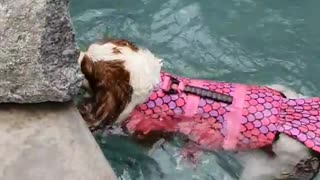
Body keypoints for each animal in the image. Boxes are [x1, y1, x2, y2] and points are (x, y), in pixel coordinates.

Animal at [77, 38, 320, 179]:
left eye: (85, 68)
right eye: (84, 50)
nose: (75, 54)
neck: (156, 89)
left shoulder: (145, 130)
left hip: (267, 165)